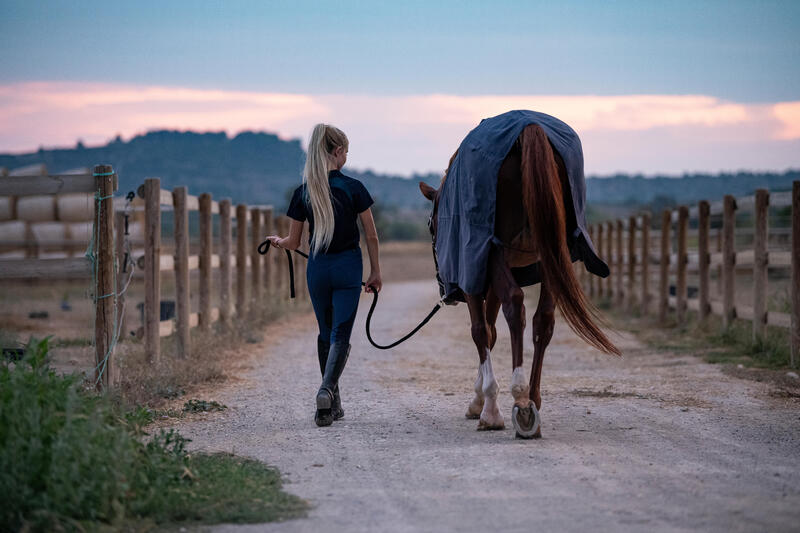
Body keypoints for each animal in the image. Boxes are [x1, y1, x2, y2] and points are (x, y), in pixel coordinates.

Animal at [418, 123, 620, 436]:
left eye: (431, 225)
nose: (447, 292)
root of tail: (530, 127)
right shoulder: (491, 278)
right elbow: (491, 331)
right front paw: (480, 399)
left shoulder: (477, 268)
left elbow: (480, 331)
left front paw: (487, 405)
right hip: (552, 255)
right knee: (543, 320)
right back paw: (532, 398)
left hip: (496, 252)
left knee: (516, 306)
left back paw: (520, 399)